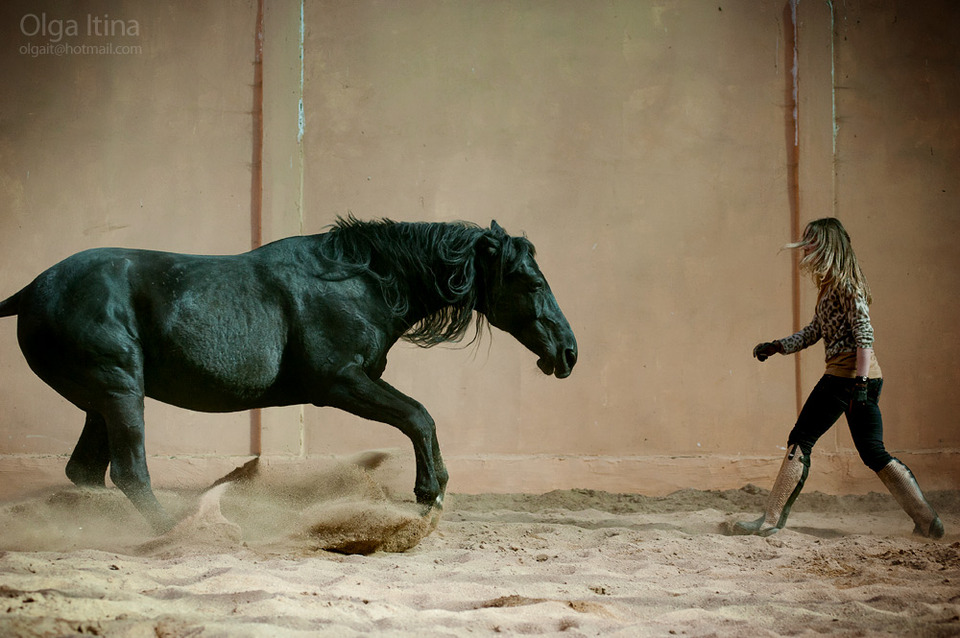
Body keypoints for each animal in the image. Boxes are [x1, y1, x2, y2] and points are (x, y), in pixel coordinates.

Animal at [0, 220, 576, 536]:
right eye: (530, 280)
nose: (568, 352)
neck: (361, 282)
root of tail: (29, 291)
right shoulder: (338, 382)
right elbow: (419, 416)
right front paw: (428, 494)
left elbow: (418, 417)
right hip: (119, 393)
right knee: (129, 473)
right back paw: (180, 533)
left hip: (103, 401)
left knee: (86, 472)